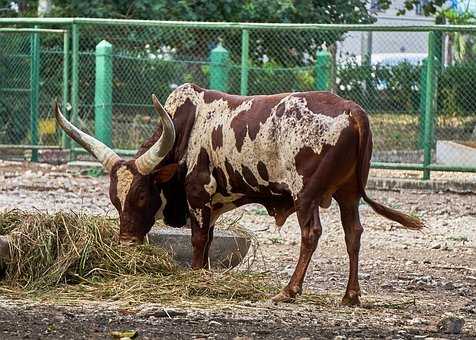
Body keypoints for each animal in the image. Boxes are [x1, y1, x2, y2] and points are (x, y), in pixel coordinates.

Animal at [55, 83, 424, 304]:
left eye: (142, 197)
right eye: (114, 200)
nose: (127, 243)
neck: (184, 131)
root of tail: (352, 110)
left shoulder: (198, 196)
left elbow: (198, 241)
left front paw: (197, 278)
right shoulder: (211, 205)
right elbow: (207, 240)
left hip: (305, 194)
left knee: (312, 234)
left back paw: (289, 291)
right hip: (348, 194)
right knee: (353, 234)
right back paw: (350, 295)